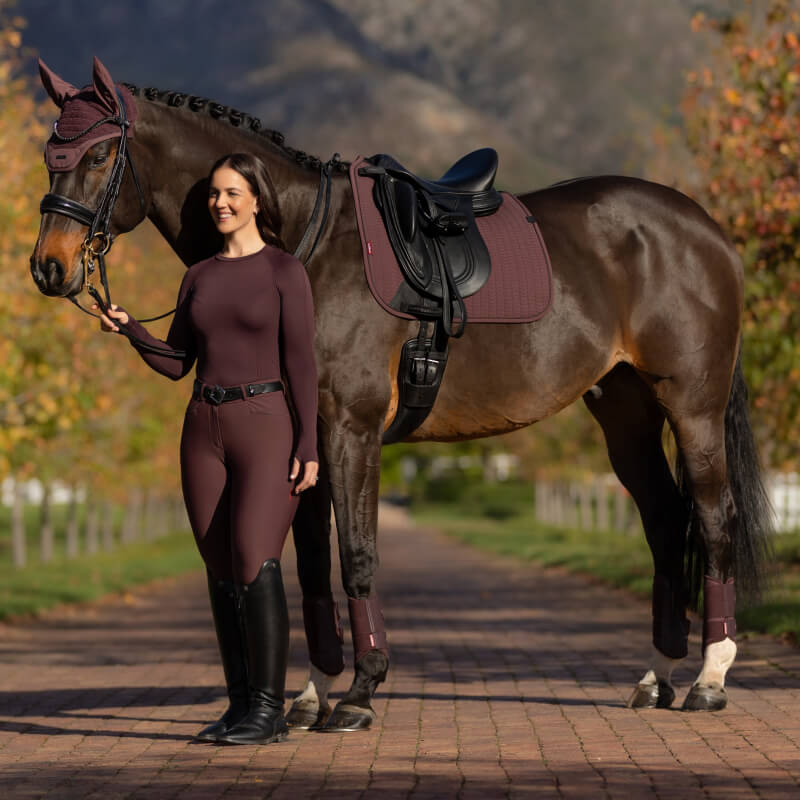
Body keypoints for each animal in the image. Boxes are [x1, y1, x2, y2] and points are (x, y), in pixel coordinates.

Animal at [31, 58, 771, 730]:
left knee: (713, 518)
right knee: (665, 521)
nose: (49, 267)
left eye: (98, 153)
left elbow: (356, 557)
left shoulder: (349, 428)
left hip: (692, 407)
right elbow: (310, 565)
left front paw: (359, 693)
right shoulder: (303, 441)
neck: (305, 242)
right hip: (625, 414)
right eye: (49, 155)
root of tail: (705, 229)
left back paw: (709, 678)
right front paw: (312, 694)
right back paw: (657, 676)